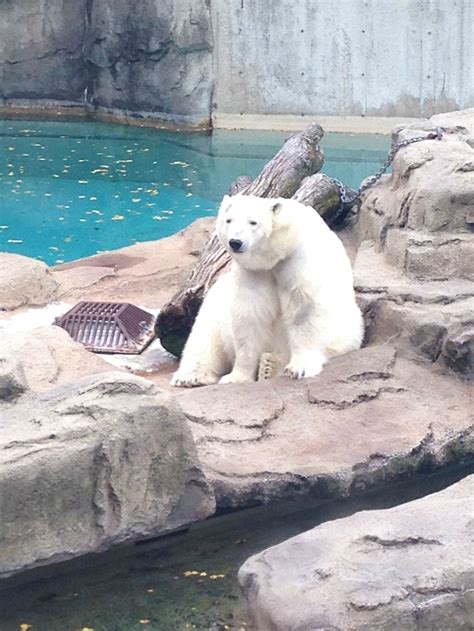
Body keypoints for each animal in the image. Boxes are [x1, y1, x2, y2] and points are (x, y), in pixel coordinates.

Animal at [170, 195, 362, 388]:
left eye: (253, 222)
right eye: (229, 220)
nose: (235, 242)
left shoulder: (298, 260)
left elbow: (305, 309)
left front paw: (299, 368)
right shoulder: (254, 273)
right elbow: (249, 316)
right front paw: (236, 377)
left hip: (347, 327)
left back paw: (270, 366)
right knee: (204, 335)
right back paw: (189, 376)